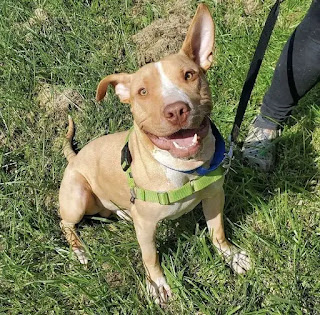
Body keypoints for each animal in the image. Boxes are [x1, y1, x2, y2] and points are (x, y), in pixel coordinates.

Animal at [58, 4, 251, 304]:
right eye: (142, 91)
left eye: (189, 75)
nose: (176, 110)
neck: (185, 169)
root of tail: (74, 158)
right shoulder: (147, 227)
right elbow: (151, 258)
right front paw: (158, 285)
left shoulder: (214, 196)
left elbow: (217, 231)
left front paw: (231, 256)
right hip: (77, 197)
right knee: (66, 224)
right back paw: (79, 250)